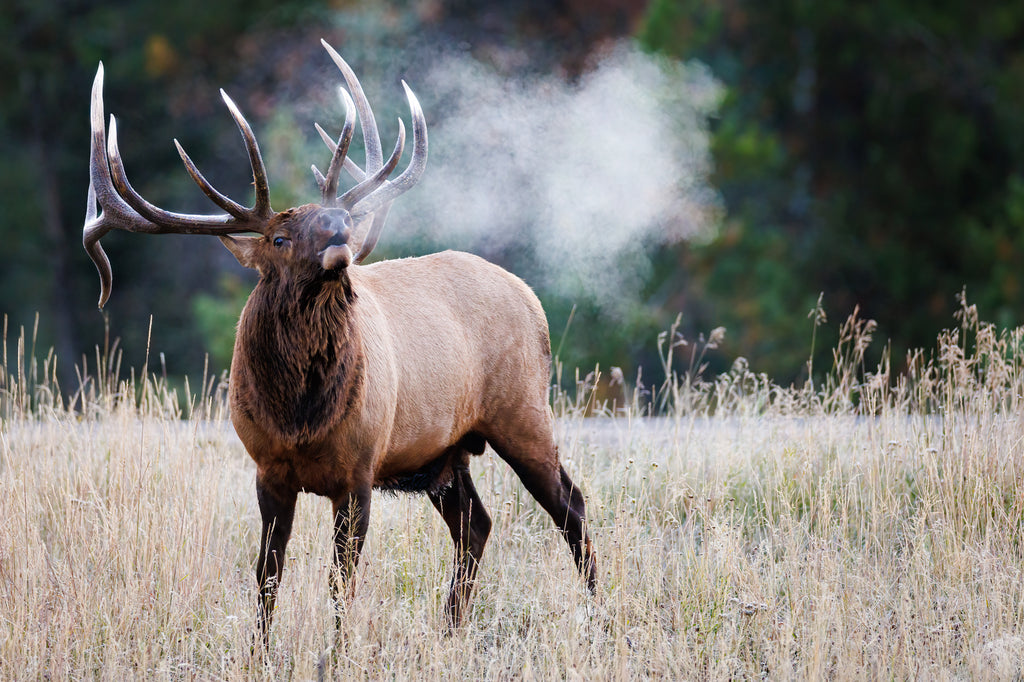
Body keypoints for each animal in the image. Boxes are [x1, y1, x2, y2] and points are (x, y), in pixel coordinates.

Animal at [86, 41, 598, 638]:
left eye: (337, 215)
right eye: (279, 238)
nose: (340, 233)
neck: (299, 418)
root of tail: (531, 298)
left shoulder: (359, 471)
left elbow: (340, 584)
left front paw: (335, 650)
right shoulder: (267, 470)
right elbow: (267, 577)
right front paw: (259, 651)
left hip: (522, 410)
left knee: (571, 507)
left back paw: (602, 619)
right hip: (447, 453)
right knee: (476, 524)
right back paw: (450, 630)